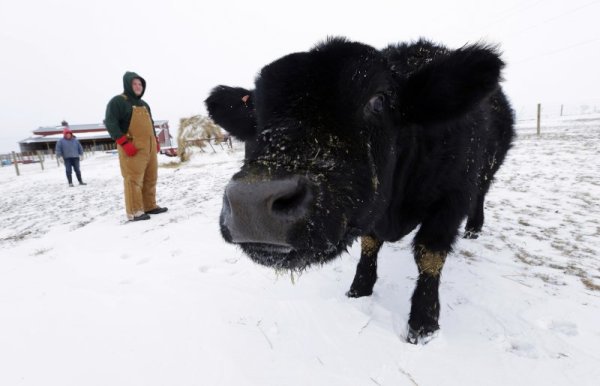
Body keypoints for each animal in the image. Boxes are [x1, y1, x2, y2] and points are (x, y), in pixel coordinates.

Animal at [206, 37, 516, 342]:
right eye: (256, 113)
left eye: (378, 101)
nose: (251, 202)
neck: (394, 212)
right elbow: (369, 244)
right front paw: (359, 289)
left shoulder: (451, 201)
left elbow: (429, 256)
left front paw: (423, 324)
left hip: (487, 171)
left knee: (481, 195)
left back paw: (474, 228)